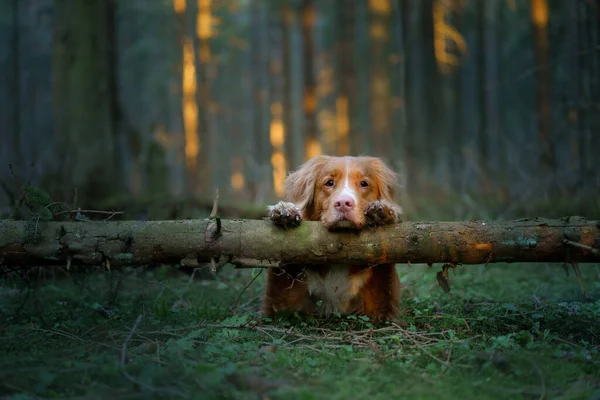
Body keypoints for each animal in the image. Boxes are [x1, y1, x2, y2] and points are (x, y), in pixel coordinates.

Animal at [264, 155, 400, 322]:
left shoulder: (380, 305)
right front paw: (287, 210)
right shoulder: (284, 300)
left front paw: (383, 211)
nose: (343, 204)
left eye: (364, 183)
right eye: (329, 182)